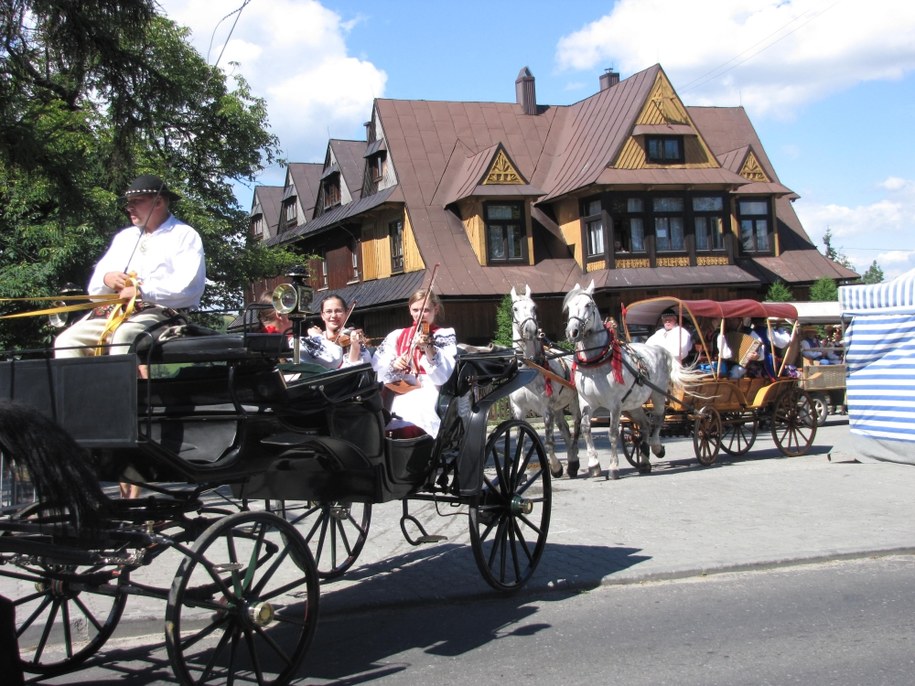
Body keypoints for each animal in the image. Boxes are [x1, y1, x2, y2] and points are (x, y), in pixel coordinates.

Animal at [508, 284, 580, 478]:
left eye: (534, 307)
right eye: (515, 309)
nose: (531, 330)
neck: (530, 367)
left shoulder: (546, 409)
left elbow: (548, 442)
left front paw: (556, 467)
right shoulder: (518, 410)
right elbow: (520, 440)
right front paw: (519, 470)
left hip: (574, 402)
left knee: (577, 428)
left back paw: (573, 462)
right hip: (559, 408)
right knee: (565, 429)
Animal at [560, 282, 704, 482]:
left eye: (588, 305)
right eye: (569, 307)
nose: (572, 332)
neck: (597, 361)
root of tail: (661, 350)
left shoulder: (614, 404)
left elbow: (612, 433)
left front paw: (613, 468)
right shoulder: (586, 402)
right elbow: (586, 429)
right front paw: (594, 465)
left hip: (657, 394)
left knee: (657, 419)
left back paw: (656, 446)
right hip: (634, 404)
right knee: (644, 426)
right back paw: (644, 461)